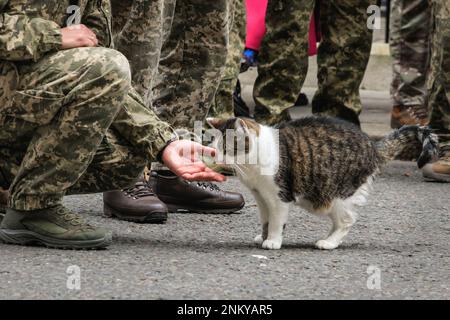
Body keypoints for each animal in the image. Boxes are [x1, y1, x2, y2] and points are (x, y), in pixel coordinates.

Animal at [207, 116, 440, 251]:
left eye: (226, 147)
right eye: (215, 145)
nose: (216, 156)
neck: (251, 166)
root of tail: (373, 146)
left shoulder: (279, 197)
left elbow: (276, 222)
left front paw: (273, 240)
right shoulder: (261, 196)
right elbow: (265, 220)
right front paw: (263, 237)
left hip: (339, 196)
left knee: (347, 221)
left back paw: (329, 243)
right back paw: (326, 239)